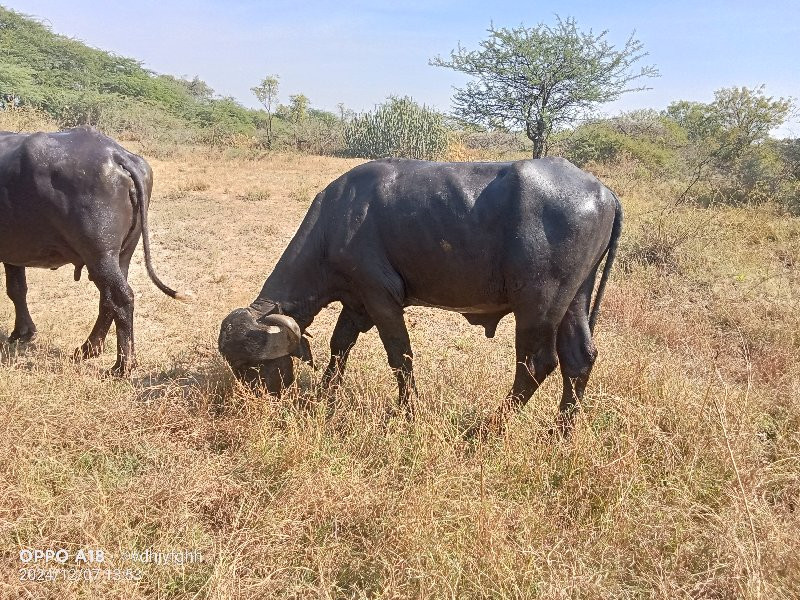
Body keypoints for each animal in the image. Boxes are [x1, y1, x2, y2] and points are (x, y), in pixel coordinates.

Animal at [0, 127, 189, 376]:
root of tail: (117, 155)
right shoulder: (14, 254)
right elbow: (17, 289)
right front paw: (23, 332)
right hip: (121, 255)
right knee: (108, 299)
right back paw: (87, 349)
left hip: (100, 255)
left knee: (121, 297)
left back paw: (122, 366)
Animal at [220, 157, 624, 434]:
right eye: (236, 367)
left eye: (253, 368)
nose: (252, 403)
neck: (337, 221)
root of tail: (604, 193)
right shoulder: (355, 302)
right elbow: (339, 346)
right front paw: (325, 394)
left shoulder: (381, 299)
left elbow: (400, 356)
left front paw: (409, 411)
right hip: (575, 298)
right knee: (578, 358)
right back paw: (560, 432)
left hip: (539, 304)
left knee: (537, 363)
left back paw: (486, 429)